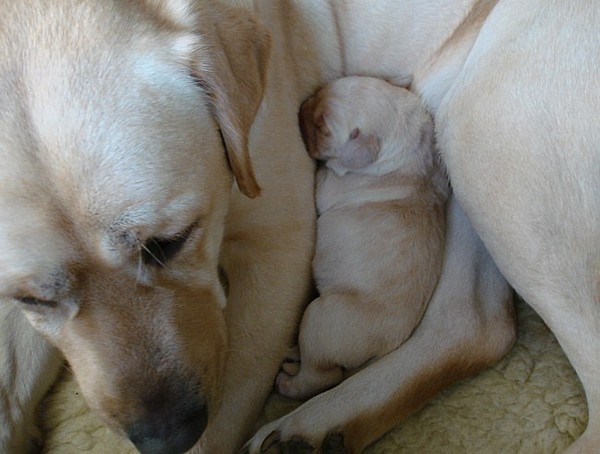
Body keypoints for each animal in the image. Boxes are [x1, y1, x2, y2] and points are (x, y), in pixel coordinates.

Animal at [278, 76, 448, 400]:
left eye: (323, 126)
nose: (302, 108)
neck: (405, 152)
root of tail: (381, 349)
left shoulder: (333, 185)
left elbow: (323, 179)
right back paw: (292, 353)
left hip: (320, 319)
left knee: (322, 376)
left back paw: (288, 382)